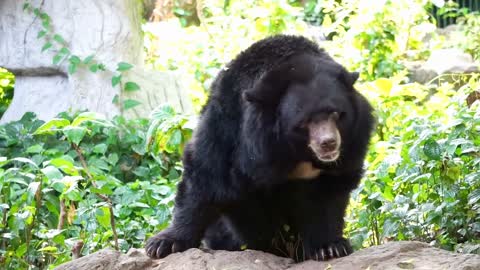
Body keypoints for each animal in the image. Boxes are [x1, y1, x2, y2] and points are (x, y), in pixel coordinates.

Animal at [144, 34, 374, 262]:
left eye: (336, 113)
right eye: (304, 122)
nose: (329, 143)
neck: (296, 153)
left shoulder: (351, 146)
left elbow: (327, 194)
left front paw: (330, 247)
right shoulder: (231, 127)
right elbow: (207, 174)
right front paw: (162, 244)